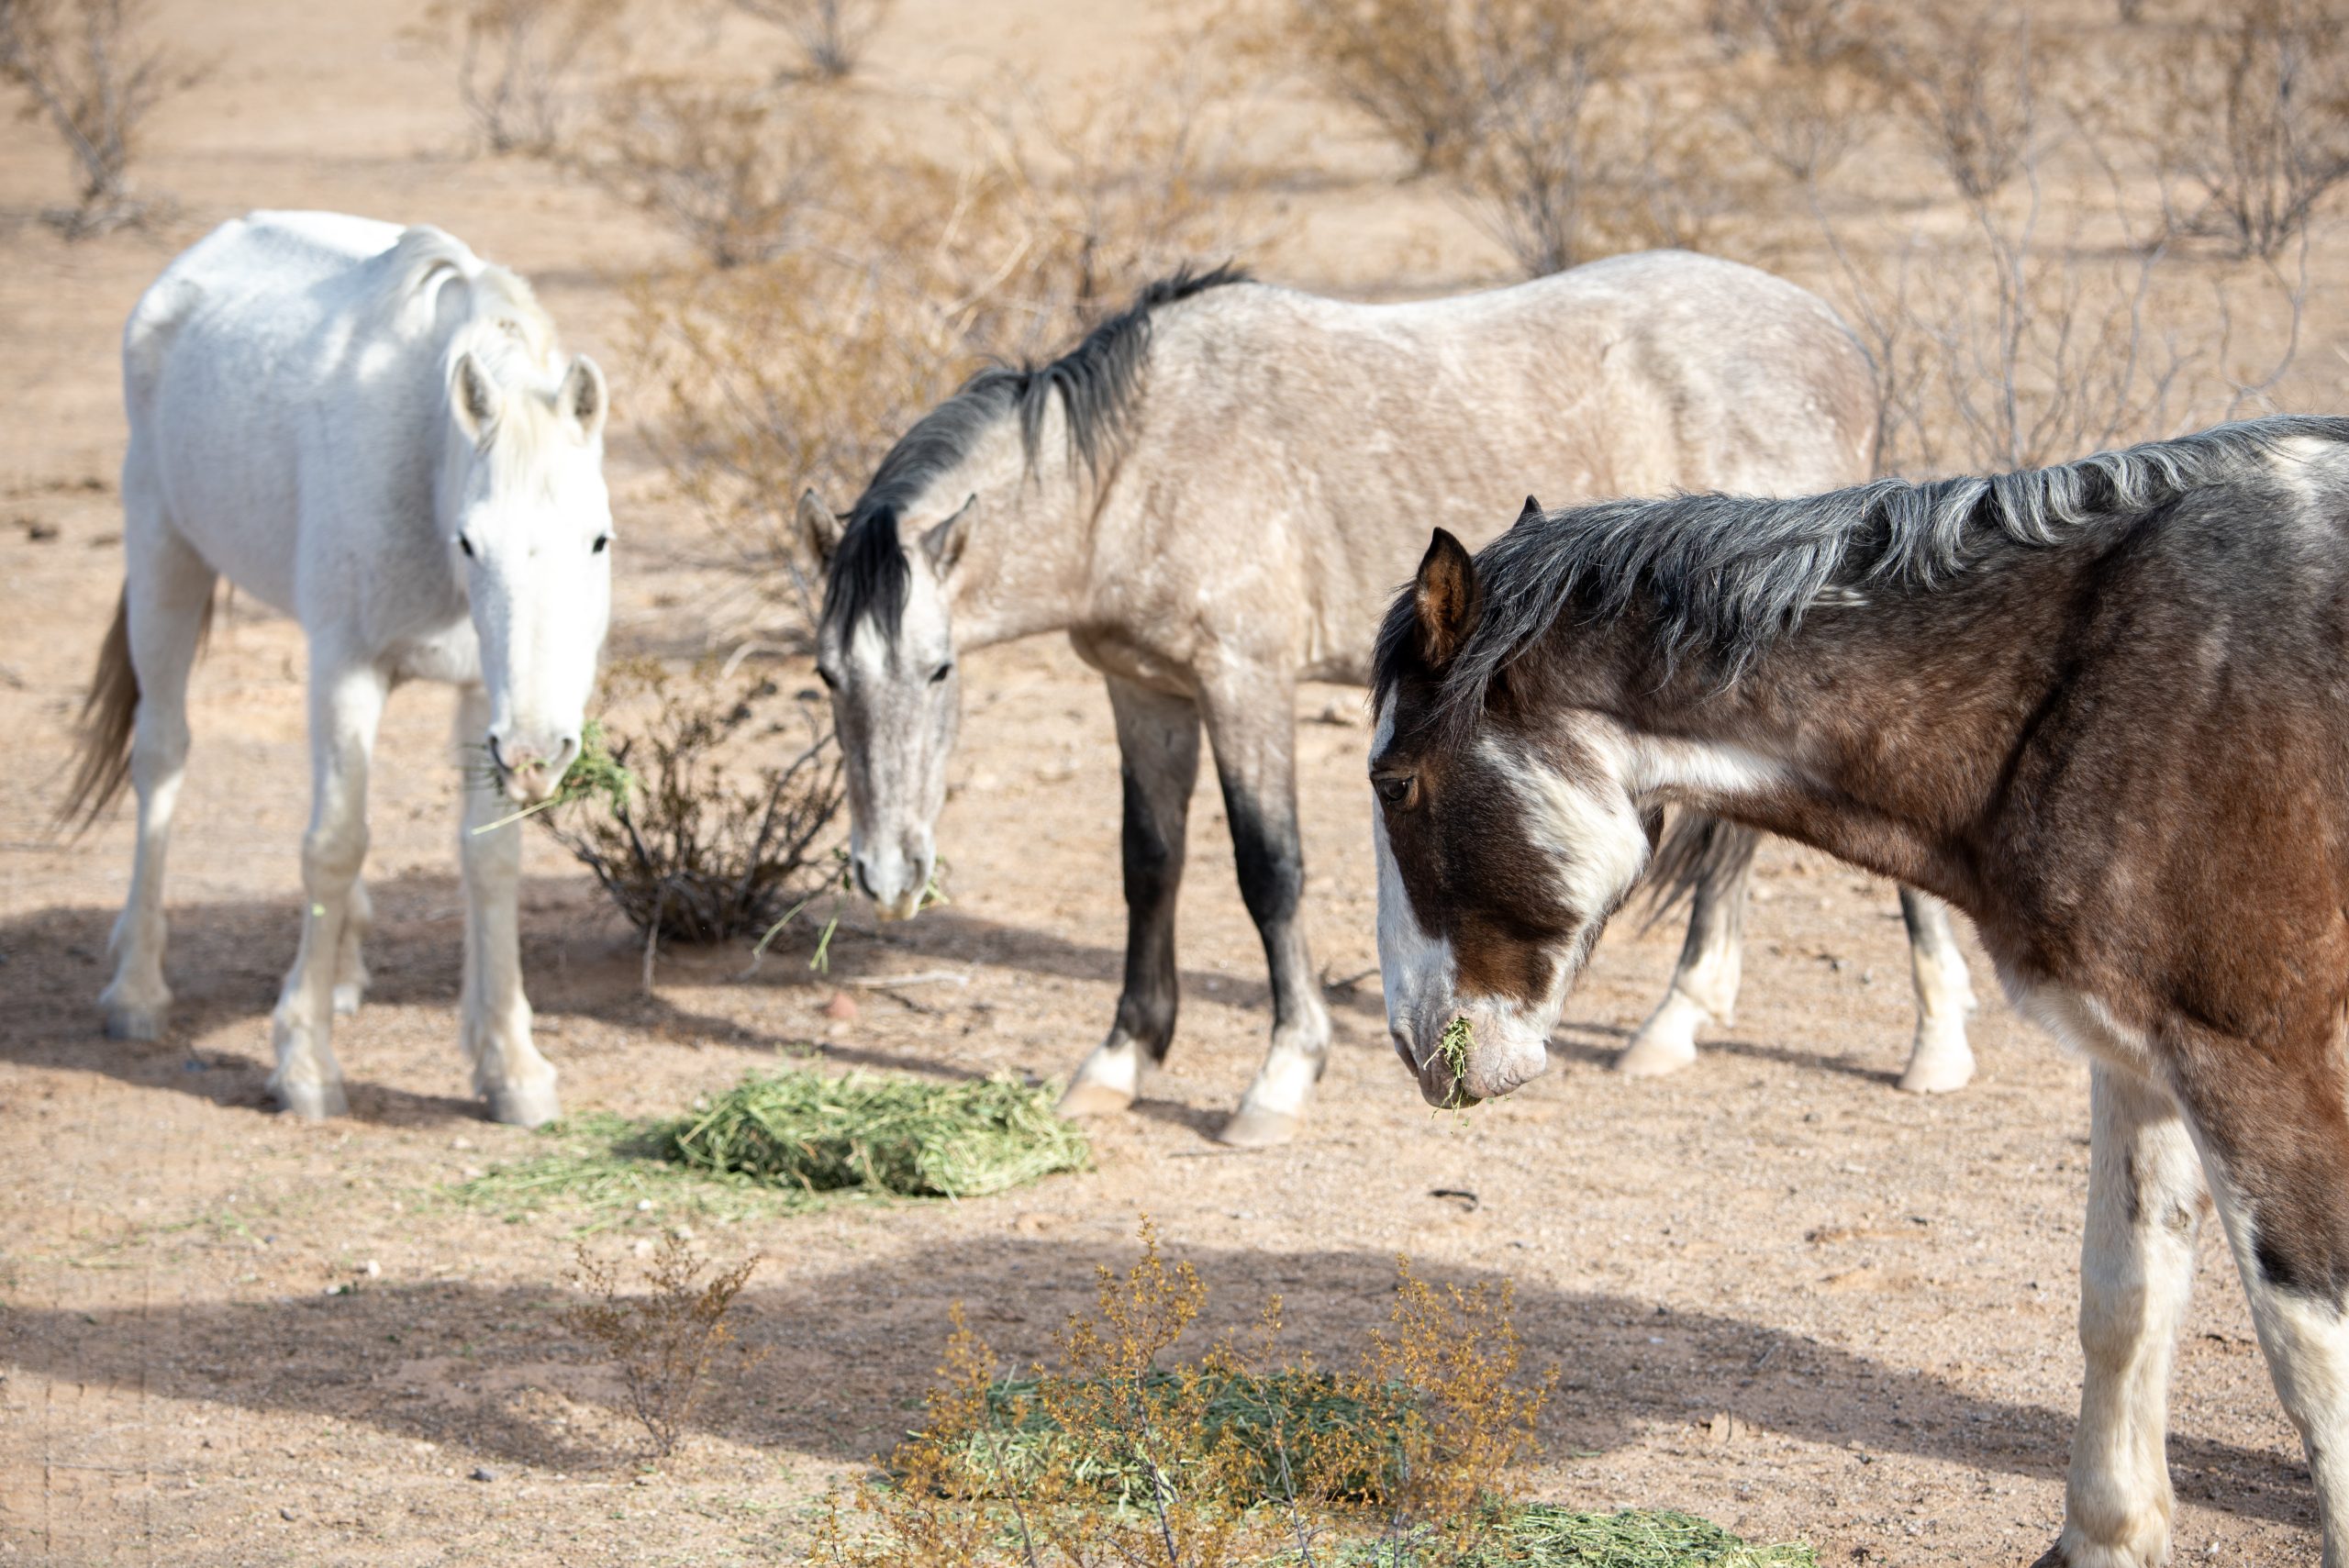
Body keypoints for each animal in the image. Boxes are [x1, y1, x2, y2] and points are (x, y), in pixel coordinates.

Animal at [62, 210, 613, 1127]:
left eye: (598, 539)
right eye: (472, 542)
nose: (541, 747)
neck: (423, 463)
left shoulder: (480, 697)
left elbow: (489, 857)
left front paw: (511, 1065)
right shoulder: (349, 669)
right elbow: (334, 843)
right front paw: (306, 1068)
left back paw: (345, 966)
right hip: (164, 554)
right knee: (162, 757)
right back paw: (136, 989)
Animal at [800, 250, 1979, 1149]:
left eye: (938, 670)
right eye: (826, 676)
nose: (886, 876)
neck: (1136, 461)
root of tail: (1837, 338)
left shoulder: (1242, 682)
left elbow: (1265, 870)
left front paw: (1280, 1078)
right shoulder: (1143, 691)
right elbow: (1150, 866)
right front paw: (1119, 1060)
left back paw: (1934, 1044)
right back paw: (1676, 1023)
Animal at [1368, 415, 2349, 1567]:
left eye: (1394, 782)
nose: (1415, 1040)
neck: (2105, 671)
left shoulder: (2259, 1070)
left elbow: (2312, 1366)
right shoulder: (2139, 1055)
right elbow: (2125, 1296)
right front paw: (2106, 1532)